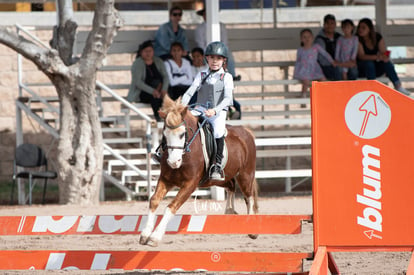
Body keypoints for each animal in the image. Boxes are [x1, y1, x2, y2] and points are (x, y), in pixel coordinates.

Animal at [140, 95, 258, 248]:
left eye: (182, 134)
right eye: (164, 133)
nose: (173, 162)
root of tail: (246, 131)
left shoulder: (190, 184)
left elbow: (171, 206)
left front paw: (155, 237)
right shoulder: (166, 179)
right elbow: (154, 201)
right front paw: (145, 234)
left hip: (245, 175)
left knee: (249, 197)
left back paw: (252, 230)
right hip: (217, 179)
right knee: (231, 186)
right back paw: (229, 212)